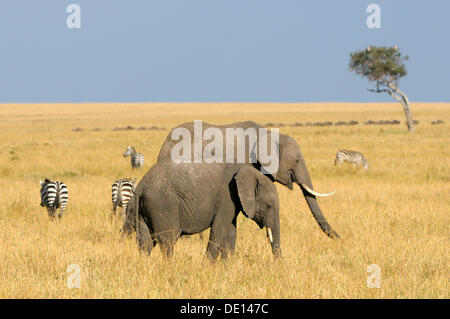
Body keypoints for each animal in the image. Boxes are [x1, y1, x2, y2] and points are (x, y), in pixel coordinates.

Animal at [123, 162, 282, 260]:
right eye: (269, 206)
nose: (277, 266)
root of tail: (140, 187)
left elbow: (231, 231)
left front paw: (227, 267)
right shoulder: (226, 196)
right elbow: (219, 230)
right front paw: (209, 267)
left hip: (142, 209)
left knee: (145, 243)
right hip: (162, 205)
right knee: (168, 241)